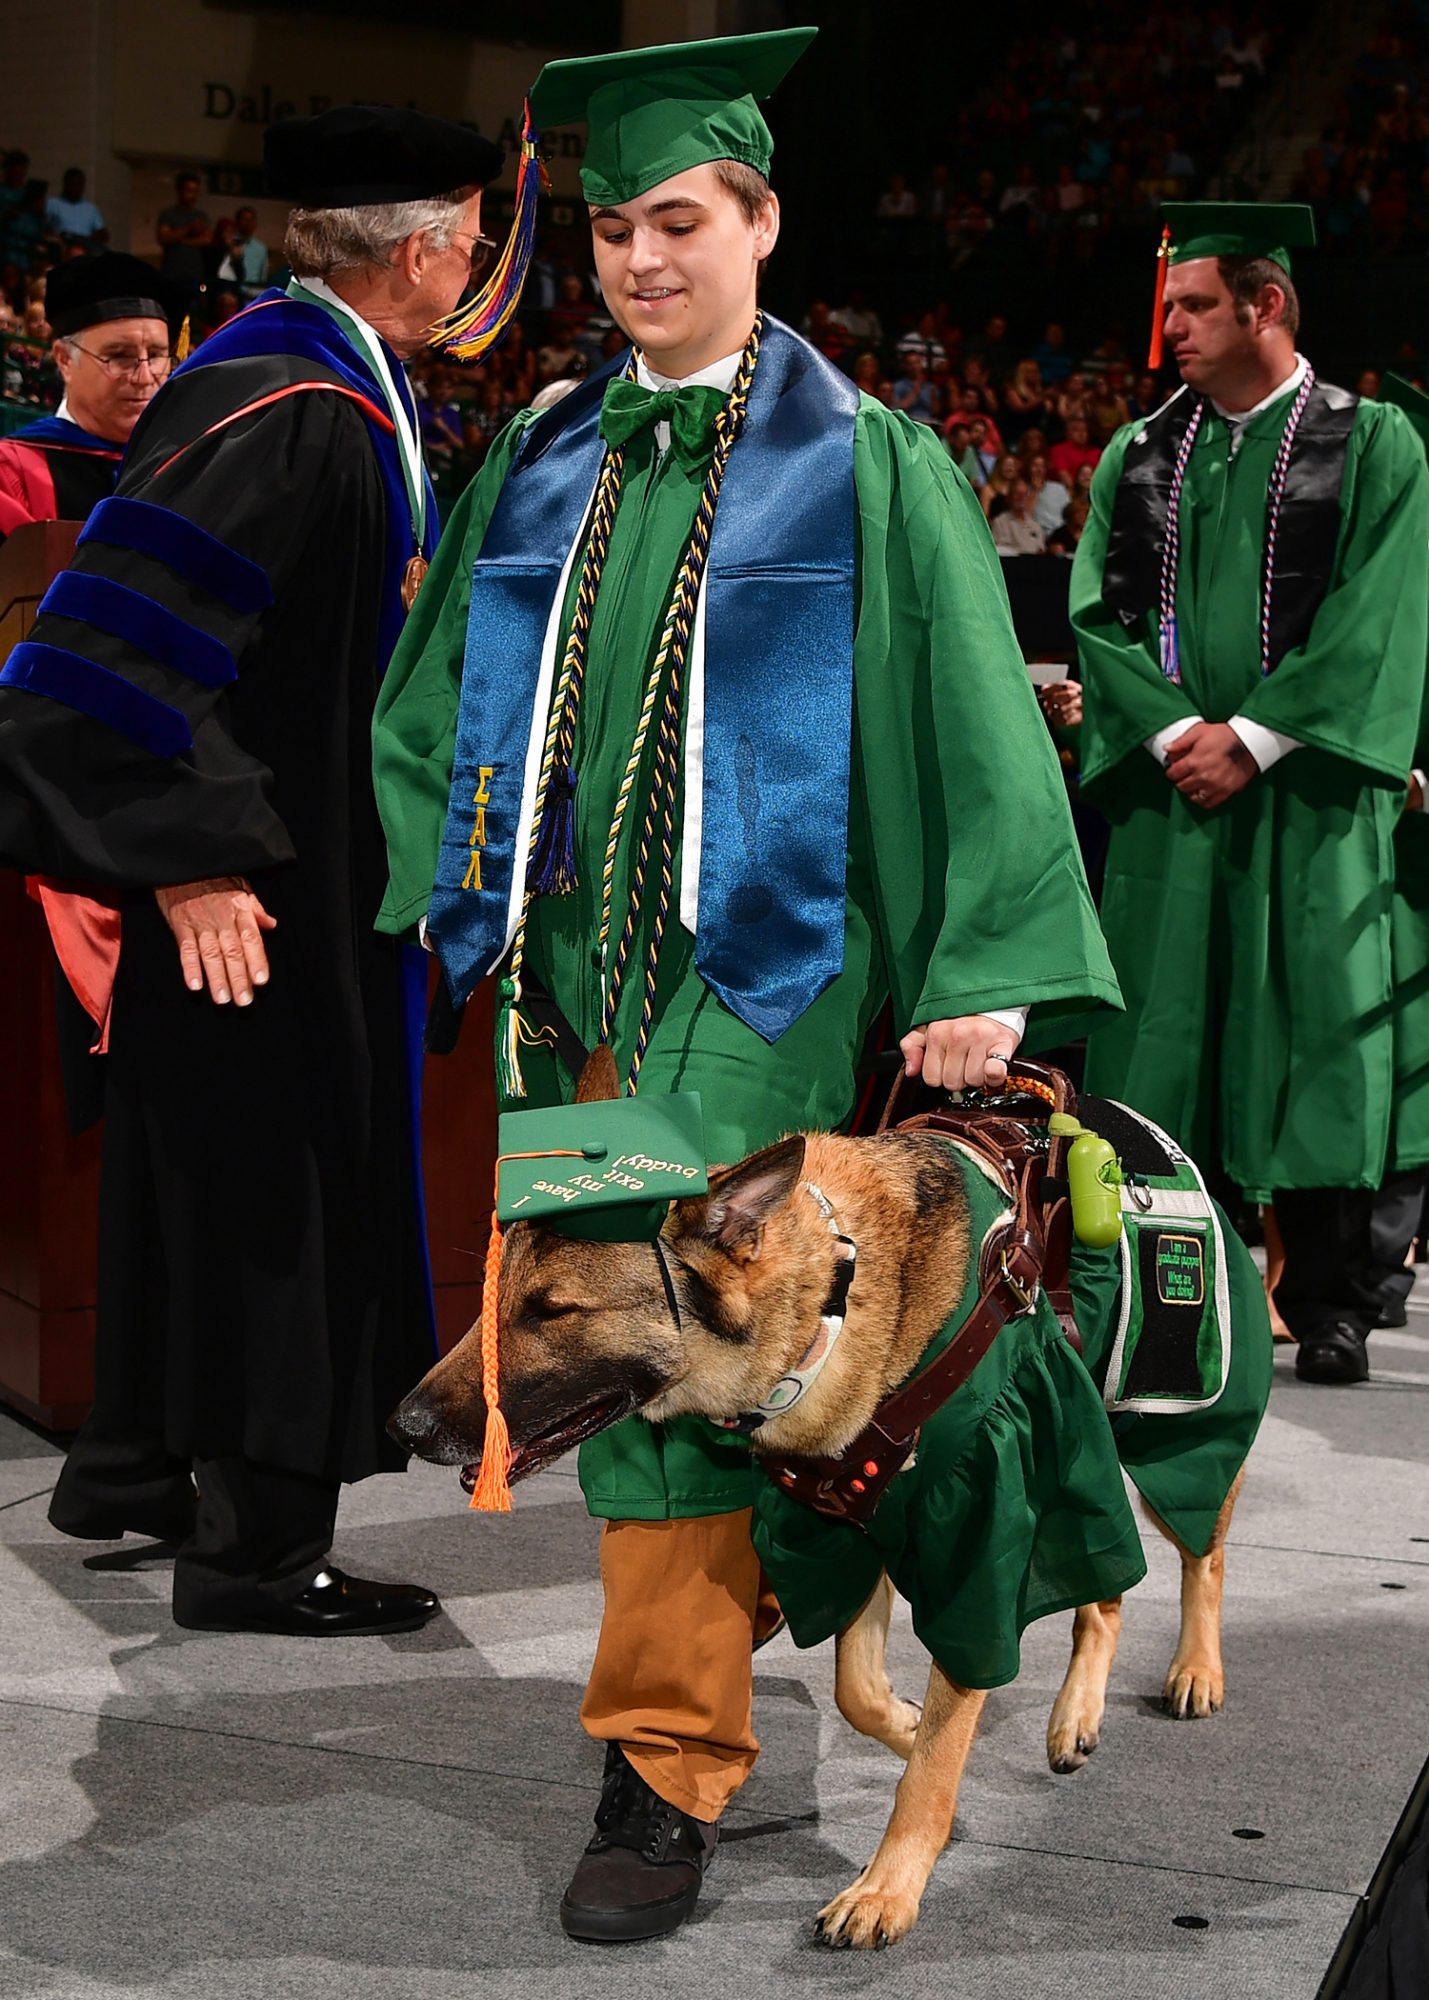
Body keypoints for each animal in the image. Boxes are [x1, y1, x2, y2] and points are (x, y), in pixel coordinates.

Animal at [390, 1088, 1232, 1944]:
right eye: (490, 1298)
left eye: (553, 1311)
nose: (404, 1426)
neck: (829, 1298)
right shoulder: (851, 1528)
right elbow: (857, 1690)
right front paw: (907, 1725)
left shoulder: (983, 1512)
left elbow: (936, 1752)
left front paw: (888, 1885)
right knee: (1106, 1594)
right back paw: (1075, 1715)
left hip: (1170, 1430)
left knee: (1198, 1555)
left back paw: (1194, 1670)